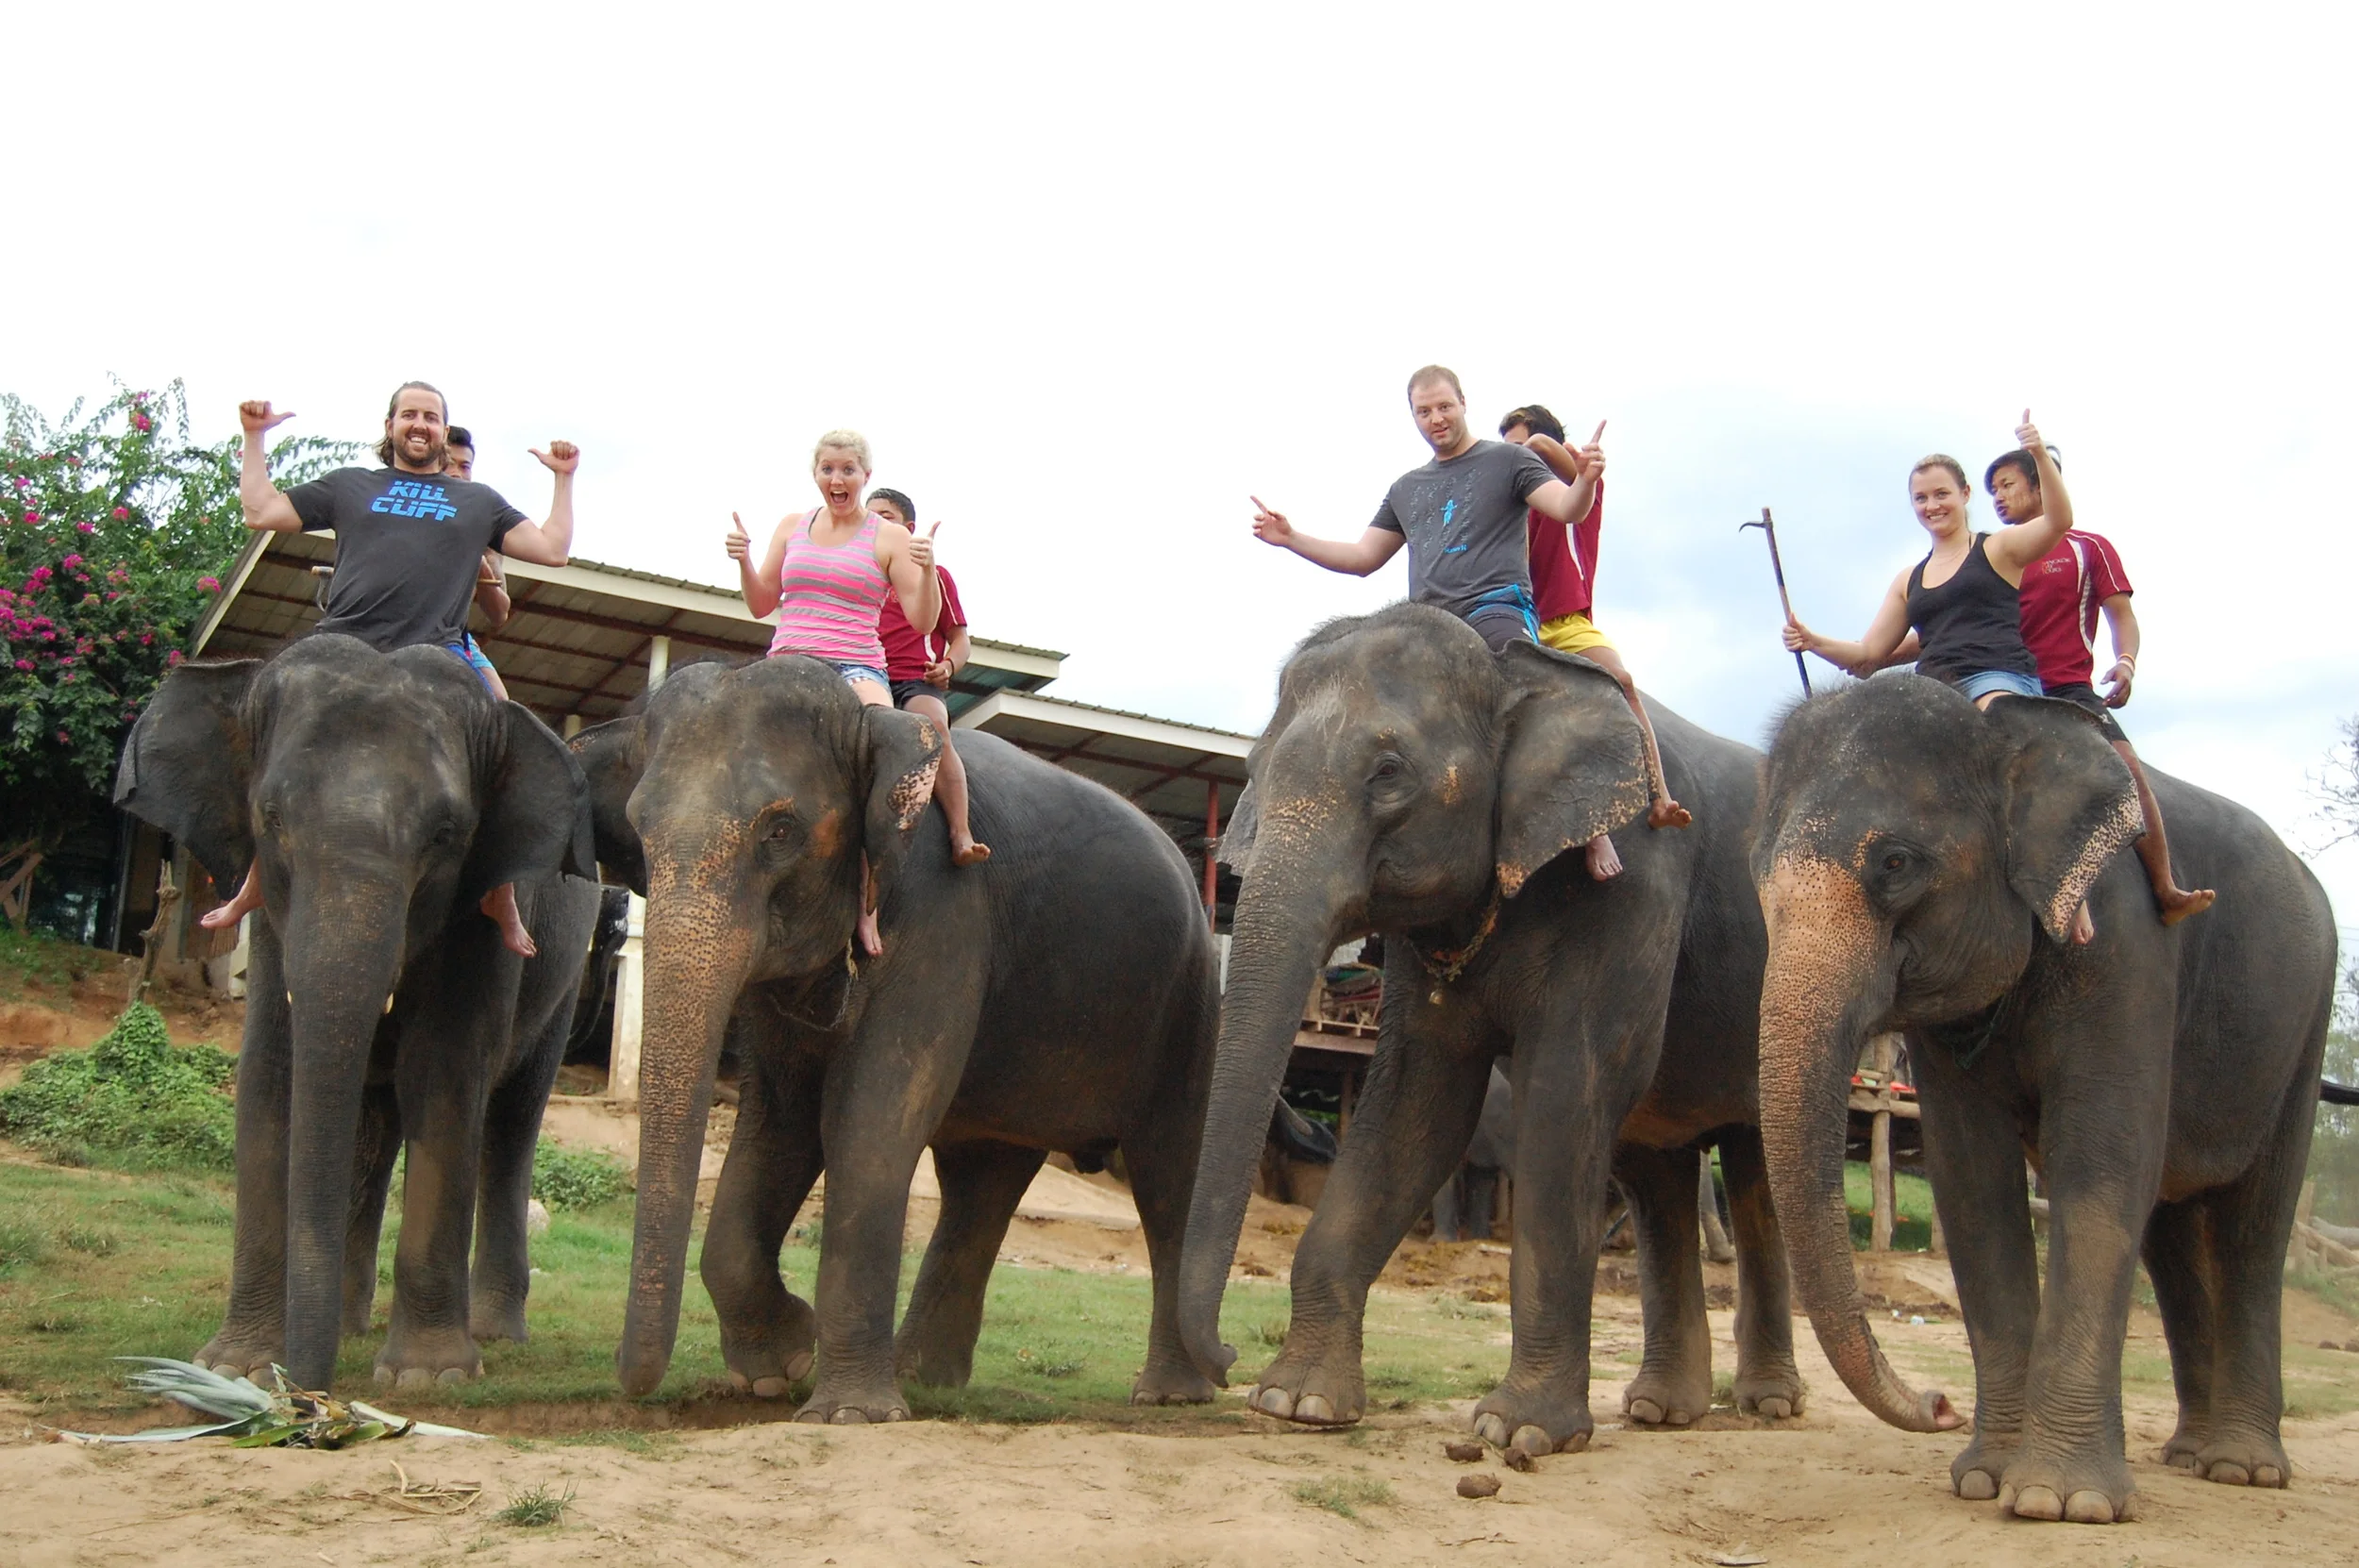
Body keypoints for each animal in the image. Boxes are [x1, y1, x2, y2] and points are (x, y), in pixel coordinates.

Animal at [113, 634, 602, 1391]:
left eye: (446, 834)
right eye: (271, 818)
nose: (306, 1397)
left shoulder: (482, 911)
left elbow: (443, 1075)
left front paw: (428, 1378)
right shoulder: (273, 912)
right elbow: (271, 1074)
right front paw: (236, 1368)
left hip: (563, 973)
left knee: (511, 1121)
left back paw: (494, 1333)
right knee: (374, 1127)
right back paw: (344, 1326)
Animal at [571, 655, 1220, 1417]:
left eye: (781, 832)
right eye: (638, 832)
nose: (631, 1384)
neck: (867, 727)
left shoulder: (945, 912)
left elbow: (868, 1116)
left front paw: (847, 1411)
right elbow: (781, 1119)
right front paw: (779, 1368)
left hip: (1189, 1003)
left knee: (1168, 1172)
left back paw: (1170, 1396)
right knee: (983, 1178)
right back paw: (922, 1377)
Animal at [1174, 602, 1803, 1457]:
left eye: (1389, 773)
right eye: (1253, 771)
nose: (1228, 1357)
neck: (1515, 676)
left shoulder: (1633, 879)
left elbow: (1568, 1088)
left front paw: (1522, 1432)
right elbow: (1417, 1104)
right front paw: (1297, 1402)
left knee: (1754, 1162)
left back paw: (1767, 1403)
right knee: (1656, 1166)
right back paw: (1661, 1409)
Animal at [1752, 673, 2338, 1524]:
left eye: (1895, 861)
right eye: (1758, 879)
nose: (1938, 1403)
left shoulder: (2124, 941)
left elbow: (2100, 1160)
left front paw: (2062, 1503)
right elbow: (1972, 1182)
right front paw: (1985, 1480)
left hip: (2304, 1023)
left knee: (2252, 1221)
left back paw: (2241, 1469)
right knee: (2171, 1227)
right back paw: (2187, 1455)